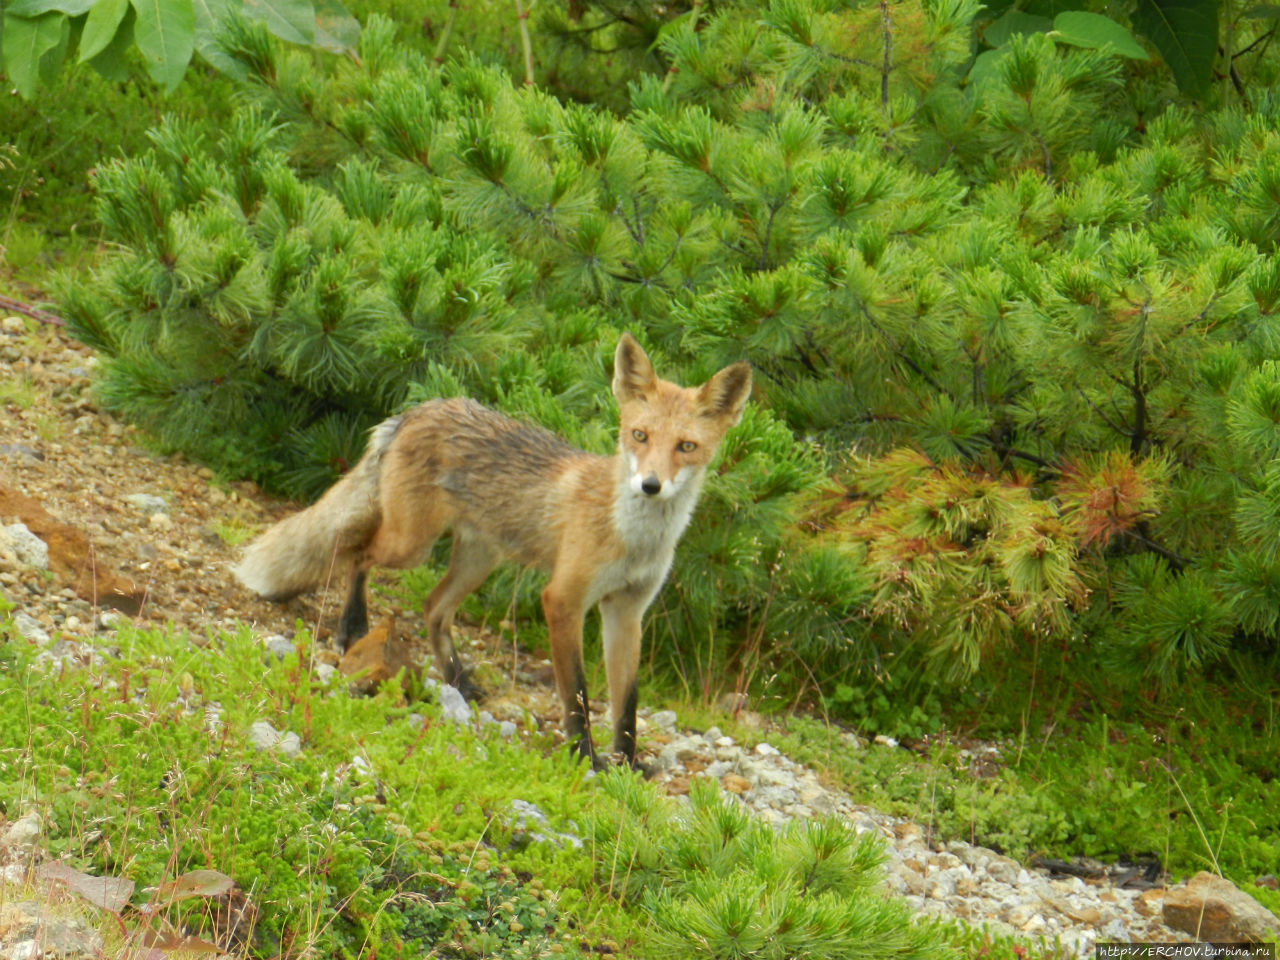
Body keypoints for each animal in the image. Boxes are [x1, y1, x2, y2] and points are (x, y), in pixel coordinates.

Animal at [232, 335, 747, 773]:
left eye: (686, 446)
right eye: (639, 436)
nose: (651, 485)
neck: (633, 538)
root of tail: (421, 408)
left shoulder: (627, 610)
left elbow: (627, 703)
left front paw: (627, 763)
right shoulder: (563, 599)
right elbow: (578, 695)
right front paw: (585, 758)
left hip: (478, 560)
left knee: (433, 606)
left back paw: (457, 681)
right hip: (410, 545)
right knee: (356, 552)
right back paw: (352, 628)